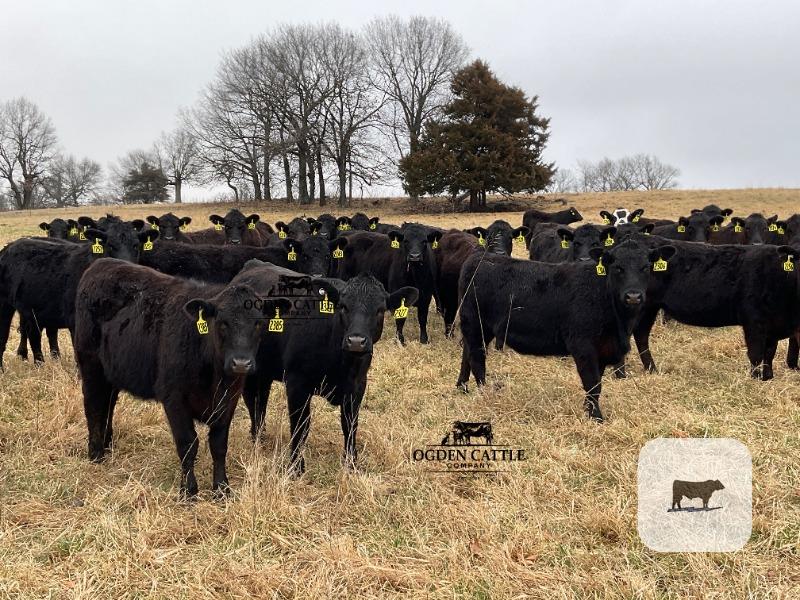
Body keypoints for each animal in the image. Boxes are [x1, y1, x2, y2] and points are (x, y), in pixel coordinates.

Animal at [0, 219, 158, 369]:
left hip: (33, 311)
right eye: (110, 245)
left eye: (136, 246)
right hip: (6, 306)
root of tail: (9, 246)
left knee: (34, 335)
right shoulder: (76, 322)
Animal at [73, 258, 289, 497]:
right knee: (93, 405)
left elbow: (219, 445)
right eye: (222, 322)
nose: (241, 363)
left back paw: (107, 443)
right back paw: (96, 453)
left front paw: (222, 488)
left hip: (112, 373)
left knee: (108, 403)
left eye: (258, 323)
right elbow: (187, 444)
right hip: (90, 366)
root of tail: (101, 263)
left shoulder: (228, 400)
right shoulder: (174, 399)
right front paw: (189, 489)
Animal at [230, 261, 418, 472]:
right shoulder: (296, 385)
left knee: (260, 402)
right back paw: (257, 439)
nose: (356, 341)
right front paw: (296, 466)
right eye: (343, 307)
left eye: (379, 309)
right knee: (252, 402)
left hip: (265, 371)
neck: (342, 364)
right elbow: (300, 425)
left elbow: (350, 424)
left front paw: (351, 462)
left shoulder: (357, 386)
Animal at [456, 238, 676, 421]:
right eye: (617, 268)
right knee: (477, 359)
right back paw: (484, 392)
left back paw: (462, 386)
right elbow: (593, 383)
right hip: (475, 324)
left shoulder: (602, 349)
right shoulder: (583, 346)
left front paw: (588, 410)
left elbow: (596, 384)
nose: (633, 296)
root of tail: (480, 259)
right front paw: (596, 417)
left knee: (467, 354)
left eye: (646, 267)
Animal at [626, 233, 800, 380]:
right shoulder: (754, 322)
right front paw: (756, 379)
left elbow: (769, 353)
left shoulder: (773, 326)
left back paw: (651, 369)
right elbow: (756, 354)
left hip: (649, 309)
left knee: (641, 335)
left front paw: (768, 377)